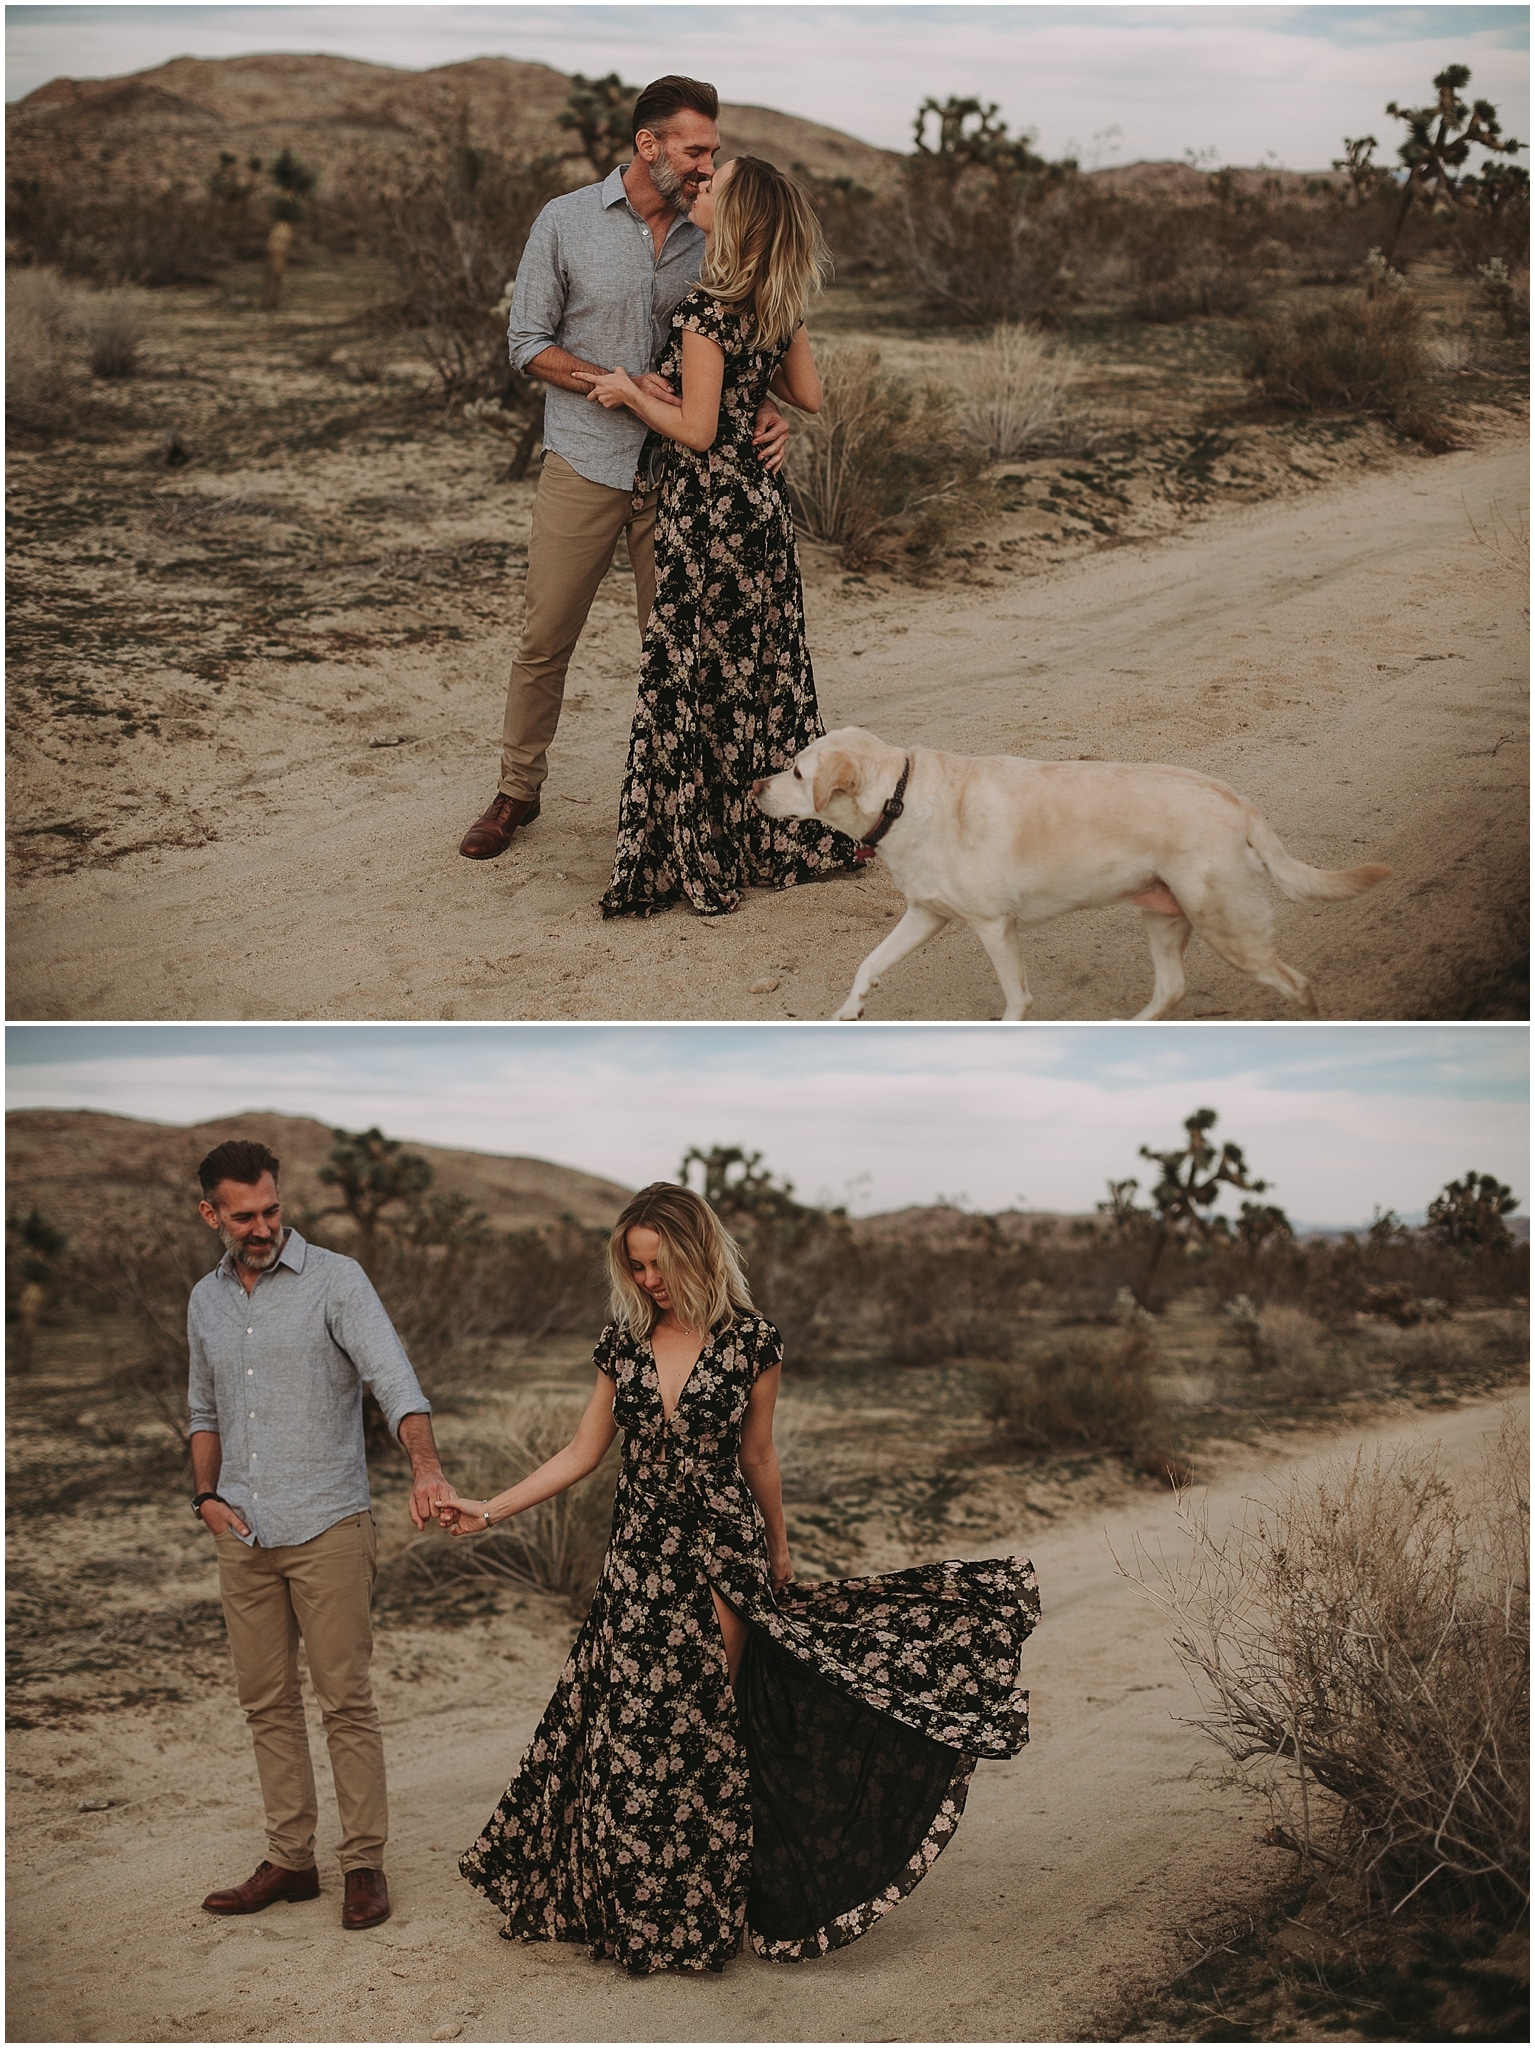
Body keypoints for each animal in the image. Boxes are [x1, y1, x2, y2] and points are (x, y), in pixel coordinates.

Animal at [753, 733, 1391, 1024]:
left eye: (797, 772)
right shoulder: (926, 915)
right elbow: (869, 963)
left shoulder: (994, 927)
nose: (753, 787)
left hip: (1229, 928)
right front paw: (849, 1010)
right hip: (1164, 916)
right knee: (1171, 988)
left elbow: (1017, 999)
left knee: (1296, 983)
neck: (901, 796)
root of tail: (1234, 798)